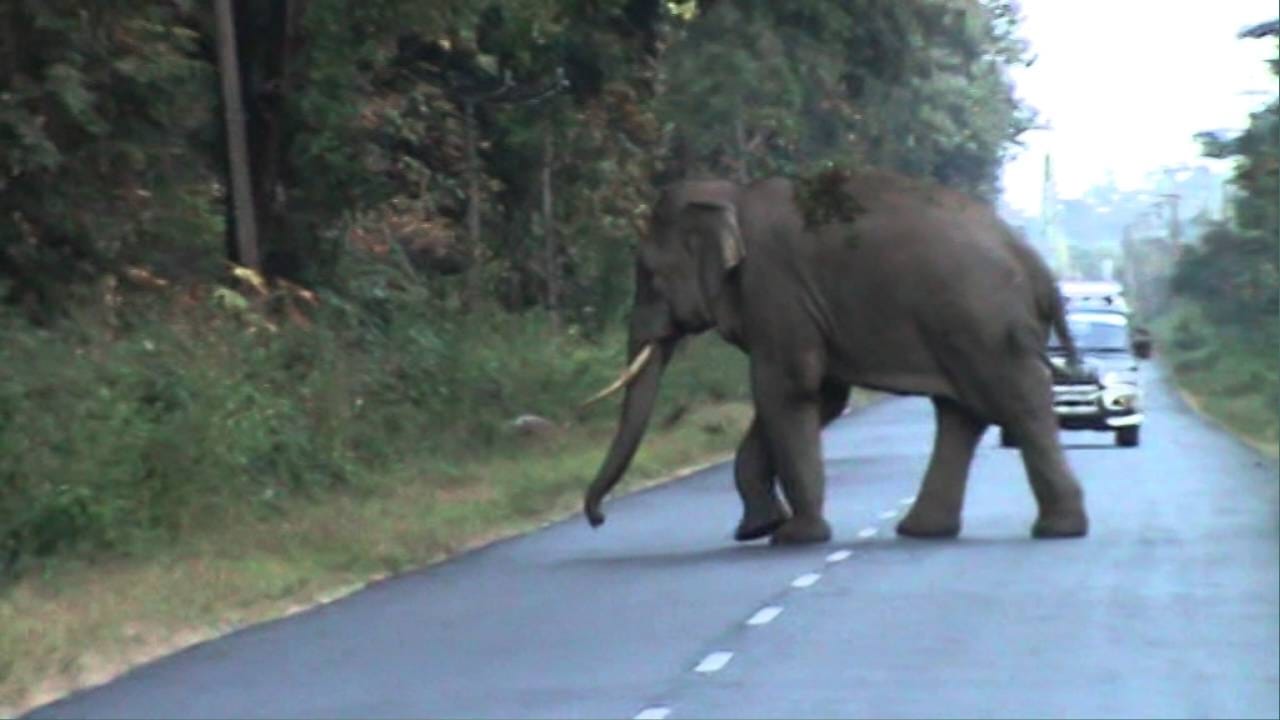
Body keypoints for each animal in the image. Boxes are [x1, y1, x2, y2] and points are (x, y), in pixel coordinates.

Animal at [581, 169, 1088, 544]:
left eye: (649, 275)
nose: (597, 519)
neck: (732, 196)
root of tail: (1040, 269)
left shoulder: (775, 289)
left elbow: (787, 388)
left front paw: (794, 537)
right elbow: (819, 395)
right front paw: (758, 529)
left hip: (985, 326)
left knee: (1017, 403)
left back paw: (1058, 530)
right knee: (961, 414)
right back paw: (923, 531)